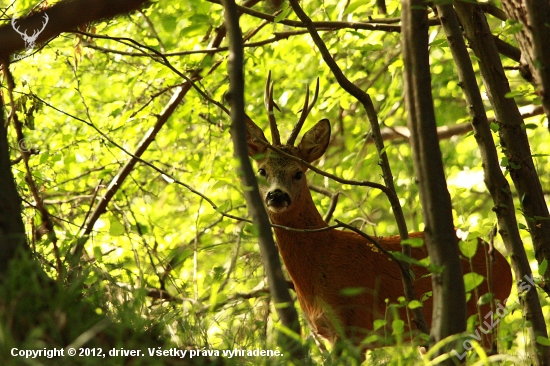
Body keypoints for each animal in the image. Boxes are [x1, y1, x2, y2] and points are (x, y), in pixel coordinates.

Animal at [246, 81, 512, 350]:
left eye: (298, 172)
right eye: (262, 171)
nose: (276, 196)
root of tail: (504, 263)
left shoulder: (352, 325)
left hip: (482, 314)